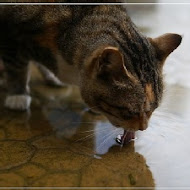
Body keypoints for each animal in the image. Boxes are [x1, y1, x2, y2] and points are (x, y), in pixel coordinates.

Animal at [0, 1, 181, 133]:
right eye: (129, 111)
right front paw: (18, 95)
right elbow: (17, 67)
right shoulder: (12, 34)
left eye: (153, 109)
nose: (143, 129)